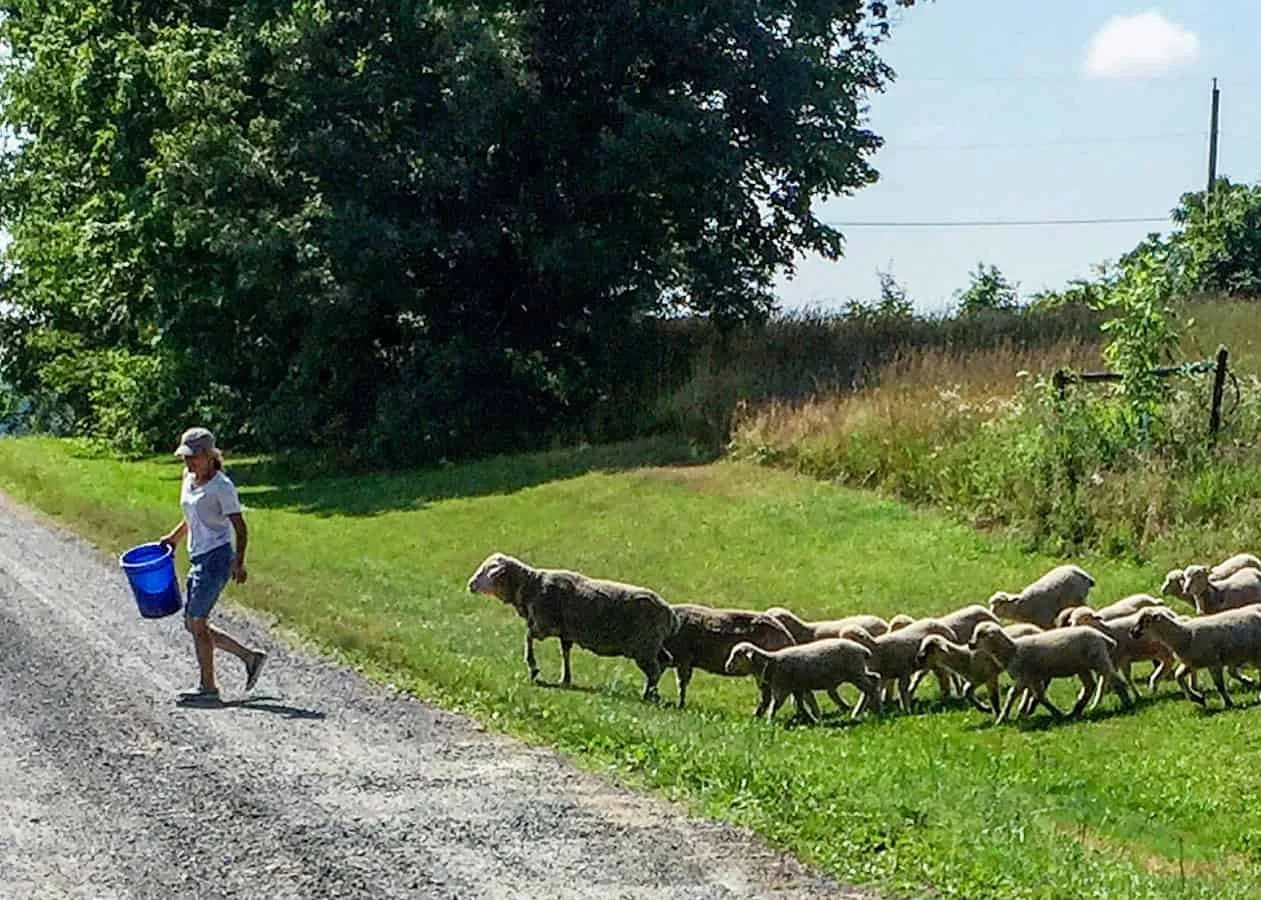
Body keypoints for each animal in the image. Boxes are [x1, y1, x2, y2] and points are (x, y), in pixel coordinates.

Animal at [467, 552, 679, 702]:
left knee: (654, 670)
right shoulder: (565, 633)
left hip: (643, 646)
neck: (530, 586)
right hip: (653, 644)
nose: (470, 584)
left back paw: (648, 695)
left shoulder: (544, 625)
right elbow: (565, 652)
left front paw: (533, 668)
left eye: (486, 571)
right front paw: (565, 679)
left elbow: (527, 637)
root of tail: (670, 614)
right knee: (664, 661)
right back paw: (653, 694)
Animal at [723, 638, 882, 723]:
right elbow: (805, 704)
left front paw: (769, 722)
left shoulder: (783, 688)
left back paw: (870, 710)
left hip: (854, 673)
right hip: (858, 671)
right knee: (875, 678)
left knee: (870, 687)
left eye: (737, 655)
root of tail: (862, 650)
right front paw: (814, 719)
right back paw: (868, 709)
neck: (772, 663)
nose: (727, 666)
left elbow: (775, 705)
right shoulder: (798, 688)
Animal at [969, 620, 1132, 724]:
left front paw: (1001, 718)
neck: (1012, 651)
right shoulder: (1033, 678)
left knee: (1116, 680)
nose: (970, 644)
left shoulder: (1023, 677)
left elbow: (1011, 695)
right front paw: (1056, 713)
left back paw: (1128, 704)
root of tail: (1102, 637)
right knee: (1090, 686)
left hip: (1098, 660)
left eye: (981, 634)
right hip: (1082, 666)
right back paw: (1075, 711)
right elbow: (1040, 696)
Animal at [1130, 606, 1261, 708]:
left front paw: (1228, 703)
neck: (1184, 635)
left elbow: (1219, 686)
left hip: (1255, 654)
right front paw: (1197, 698)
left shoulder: (1213, 663)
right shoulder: (1192, 663)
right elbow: (1178, 676)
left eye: (1146, 621)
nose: (1132, 632)